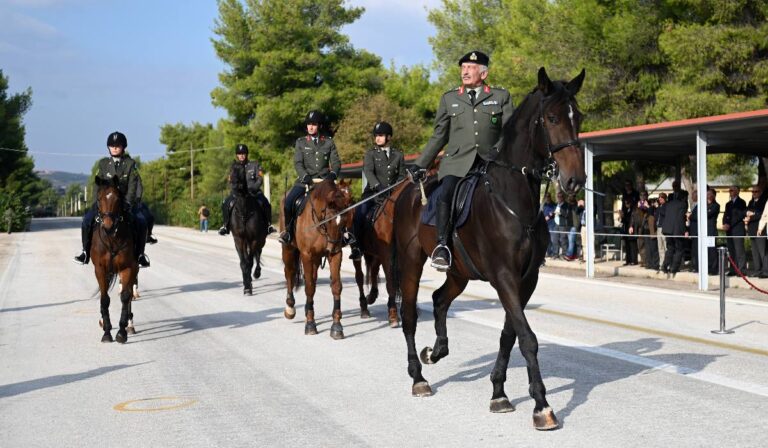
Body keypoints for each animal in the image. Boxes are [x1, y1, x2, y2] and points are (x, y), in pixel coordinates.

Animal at [92, 175, 140, 344]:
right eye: (98, 198)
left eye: (118, 199)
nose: (108, 225)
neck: (112, 238)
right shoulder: (100, 269)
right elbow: (104, 299)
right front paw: (107, 332)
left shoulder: (128, 268)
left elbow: (126, 297)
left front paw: (121, 332)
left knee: (130, 293)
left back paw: (130, 325)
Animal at [392, 67, 584, 430]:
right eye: (552, 118)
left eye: (578, 117)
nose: (575, 180)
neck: (513, 200)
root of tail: (407, 190)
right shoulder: (503, 276)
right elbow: (527, 338)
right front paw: (542, 406)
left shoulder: (526, 279)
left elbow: (510, 334)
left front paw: (499, 393)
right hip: (411, 263)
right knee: (409, 315)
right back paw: (418, 377)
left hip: (459, 272)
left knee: (439, 299)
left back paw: (435, 351)